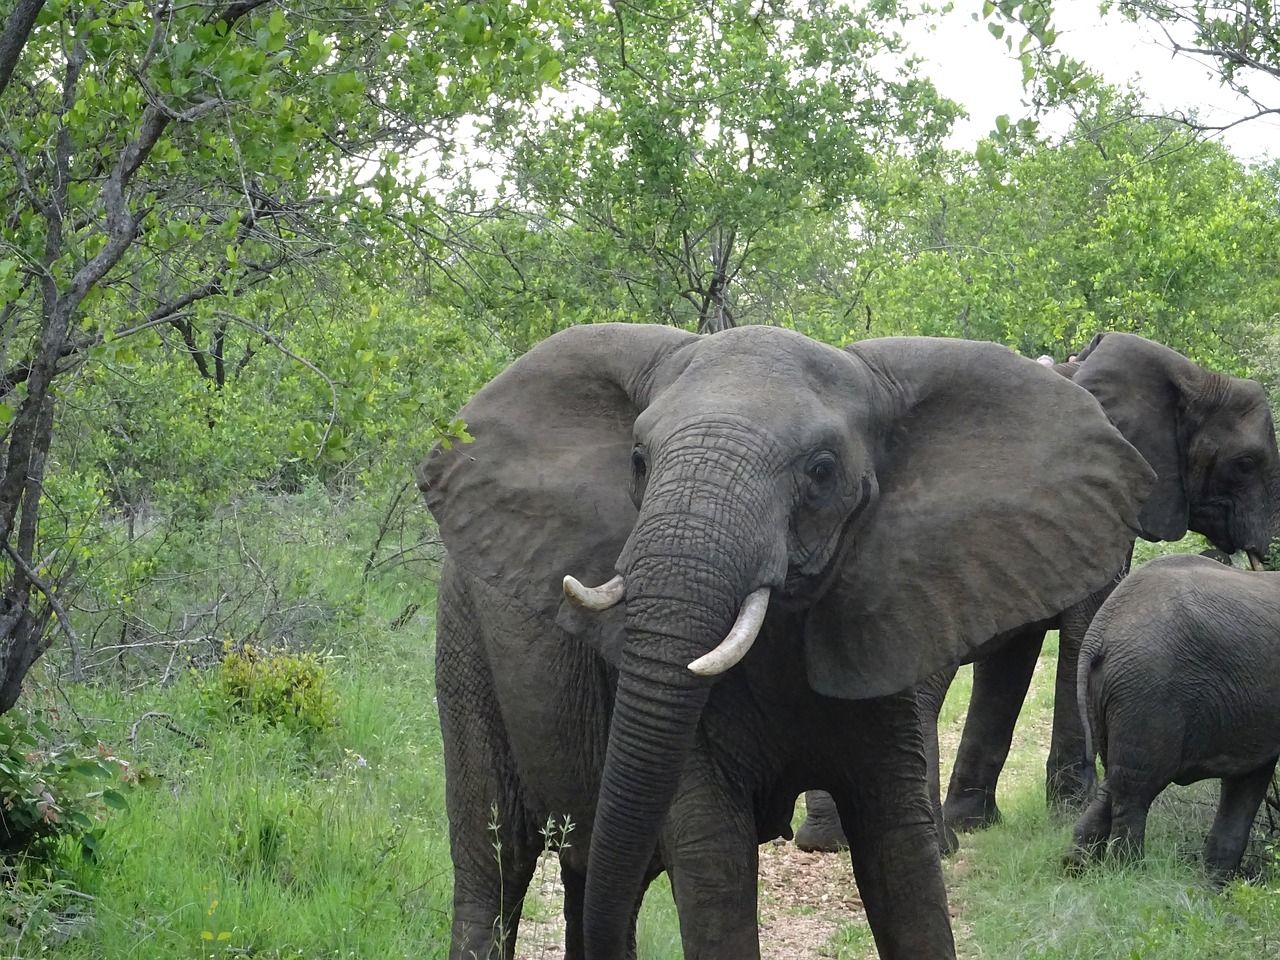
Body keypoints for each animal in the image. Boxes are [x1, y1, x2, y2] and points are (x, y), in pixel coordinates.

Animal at [414, 325, 1157, 960]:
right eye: (637, 459)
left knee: (588, 872)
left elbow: (900, 849)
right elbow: (711, 854)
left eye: (822, 470)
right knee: (496, 859)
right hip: (464, 643)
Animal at [1064, 552, 1280, 885]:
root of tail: (1099, 632)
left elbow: (1247, 778)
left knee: (1115, 782)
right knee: (1136, 788)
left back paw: (1075, 868)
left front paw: (1214, 888)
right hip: (1147, 691)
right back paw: (1128, 874)